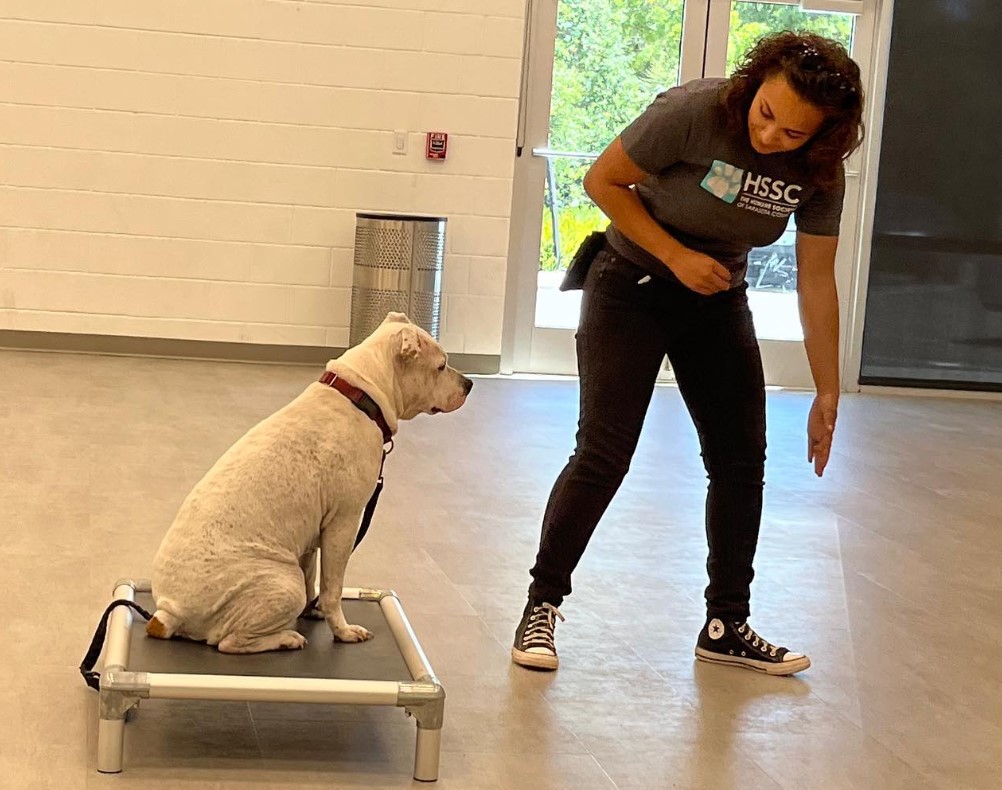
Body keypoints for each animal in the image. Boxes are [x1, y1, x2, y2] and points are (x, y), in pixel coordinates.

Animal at [146, 314, 472, 653]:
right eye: (441, 366)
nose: (470, 384)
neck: (361, 397)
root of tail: (166, 614)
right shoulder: (343, 525)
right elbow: (332, 589)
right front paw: (342, 630)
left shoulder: (311, 536)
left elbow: (312, 575)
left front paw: (312, 610)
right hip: (282, 584)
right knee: (228, 641)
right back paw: (286, 638)